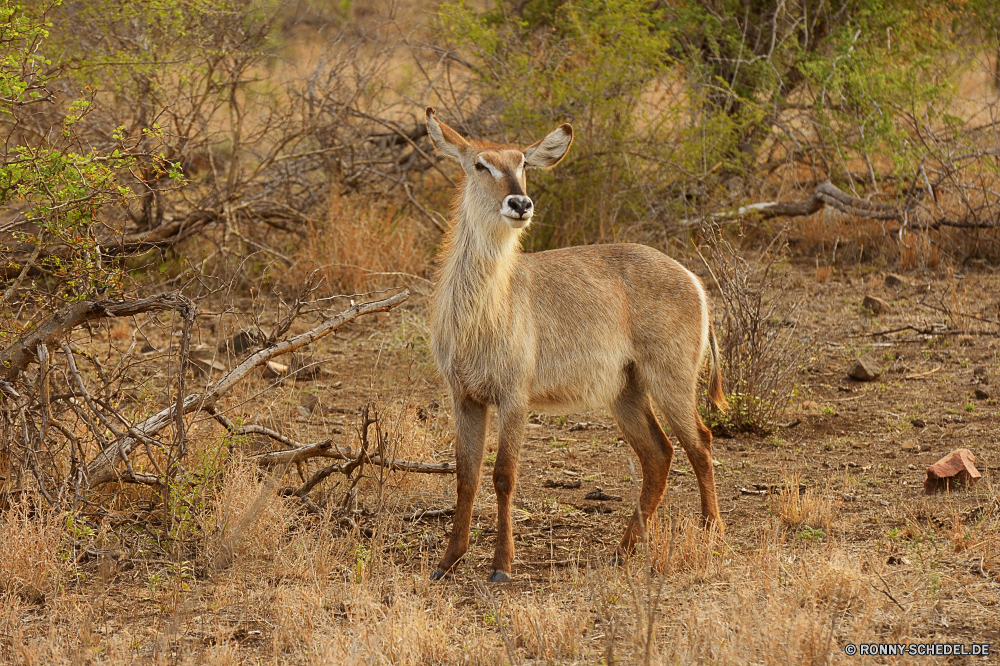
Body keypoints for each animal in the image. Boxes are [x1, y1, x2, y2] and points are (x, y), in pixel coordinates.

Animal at [422, 107, 728, 580]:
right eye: (480, 164)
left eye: (523, 164)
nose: (520, 204)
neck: (482, 311)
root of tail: (695, 280)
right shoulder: (465, 396)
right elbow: (465, 476)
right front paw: (447, 562)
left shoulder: (514, 397)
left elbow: (503, 476)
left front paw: (501, 565)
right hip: (626, 391)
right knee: (659, 455)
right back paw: (623, 550)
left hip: (672, 381)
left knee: (700, 442)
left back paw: (711, 533)